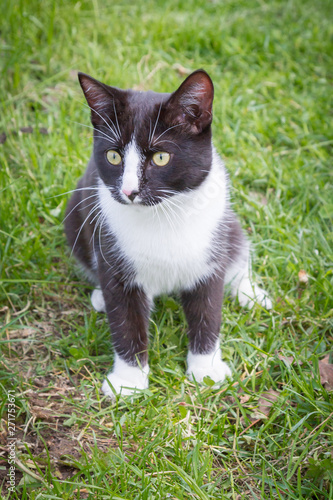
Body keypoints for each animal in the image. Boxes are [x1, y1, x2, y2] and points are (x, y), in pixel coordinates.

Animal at [63, 69, 272, 398]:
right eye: (113, 156)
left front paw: (206, 369)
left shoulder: (210, 253)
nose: (129, 191)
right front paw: (129, 381)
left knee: (238, 248)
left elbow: (208, 311)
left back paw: (251, 293)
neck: (162, 214)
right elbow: (125, 318)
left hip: (228, 222)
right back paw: (99, 296)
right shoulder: (112, 252)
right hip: (75, 218)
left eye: (160, 158)